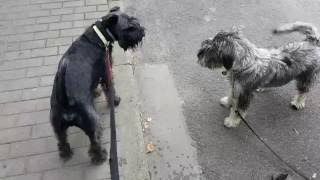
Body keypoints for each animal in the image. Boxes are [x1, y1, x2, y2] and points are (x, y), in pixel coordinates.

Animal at [50, 6, 145, 165]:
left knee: (62, 140)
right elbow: (109, 89)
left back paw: (66, 153)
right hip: (94, 124)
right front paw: (115, 100)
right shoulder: (106, 72)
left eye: (134, 19)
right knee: (94, 142)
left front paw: (95, 94)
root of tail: (67, 106)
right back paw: (100, 156)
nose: (142, 32)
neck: (99, 36)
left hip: (57, 126)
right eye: (129, 27)